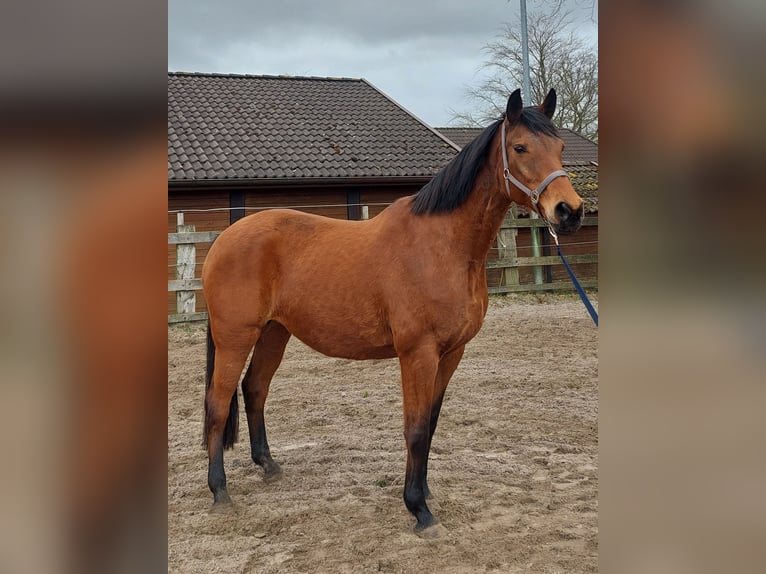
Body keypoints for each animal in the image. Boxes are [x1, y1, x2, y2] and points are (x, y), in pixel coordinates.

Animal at [201, 89, 584, 540]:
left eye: (560, 148)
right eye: (520, 147)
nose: (569, 211)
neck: (442, 246)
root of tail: (223, 239)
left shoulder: (451, 353)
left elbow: (430, 424)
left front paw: (425, 492)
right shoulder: (417, 354)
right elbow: (414, 429)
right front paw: (419, 510)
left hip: (274, 332)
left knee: (255, 389)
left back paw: (268, 465)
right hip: (235, 337)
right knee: (218, 403)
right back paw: (220, 492)